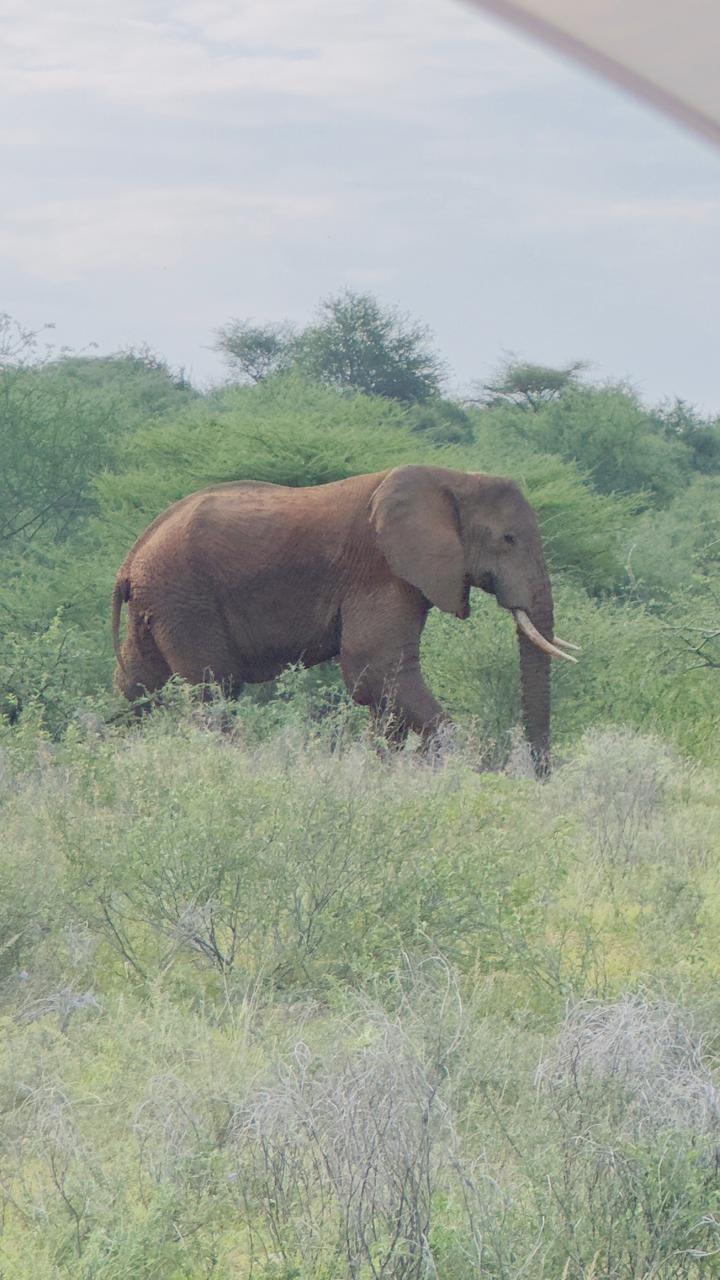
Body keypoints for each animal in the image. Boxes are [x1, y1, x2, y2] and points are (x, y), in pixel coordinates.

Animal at [111, 464, 577, 775]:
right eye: (508, 539)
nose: (539, 777)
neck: (453, 478)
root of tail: (133, 556)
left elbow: (383, 683)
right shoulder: (380, 569)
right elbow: (374, 670)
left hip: (158, 604)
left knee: (138, 685)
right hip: (186, 597)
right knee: (215, 690)